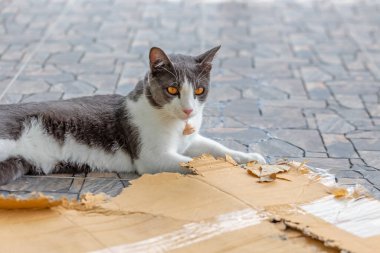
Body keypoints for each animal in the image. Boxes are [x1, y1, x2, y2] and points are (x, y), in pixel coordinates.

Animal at [0, 45, 266, 185]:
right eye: (172, 89)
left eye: (199, 90)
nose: (189, 109)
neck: (176, 125)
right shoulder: (151, 157)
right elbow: (191, 162)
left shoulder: (191, 140)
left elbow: (216, 147)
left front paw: (249, 157)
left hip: (15, 164)